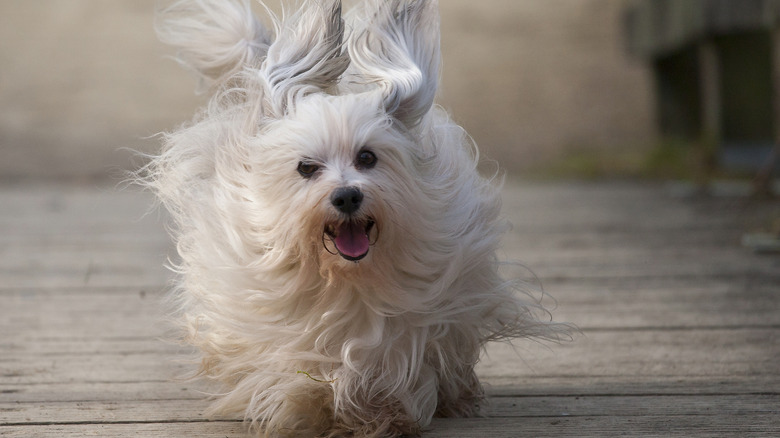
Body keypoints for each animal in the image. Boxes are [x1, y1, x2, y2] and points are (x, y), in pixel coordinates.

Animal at [142, 1, 568, 436]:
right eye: (306, 167)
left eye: (367, 157)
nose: (347, 195)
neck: (346, 278)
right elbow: (292, 366)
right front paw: (306, 405)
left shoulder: (415, 315)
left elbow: (396, 359)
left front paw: (383, 412)